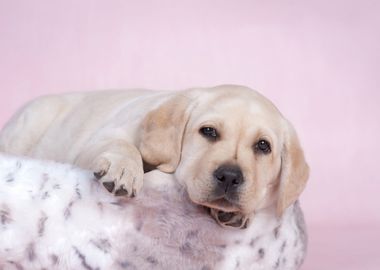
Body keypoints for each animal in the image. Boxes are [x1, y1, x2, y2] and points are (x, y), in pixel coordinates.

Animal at [0, 85, 308, 227]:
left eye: (263, 146)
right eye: (208, 131)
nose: (231, 177)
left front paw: (237, 213)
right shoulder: (104, 136)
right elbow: (124, 147)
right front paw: (124, 170)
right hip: (28, 125)